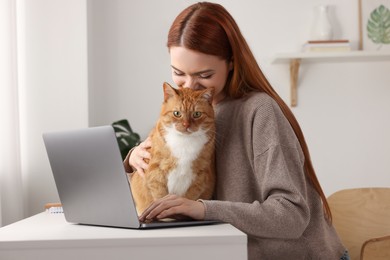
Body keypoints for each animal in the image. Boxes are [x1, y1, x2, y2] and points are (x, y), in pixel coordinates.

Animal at [130, 82, 216, 214]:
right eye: (177, 113)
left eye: (197, 114)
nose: (186, 125)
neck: (184, 142)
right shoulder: (155, 171)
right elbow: (160, 196)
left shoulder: (200, 175)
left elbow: (188, 198)